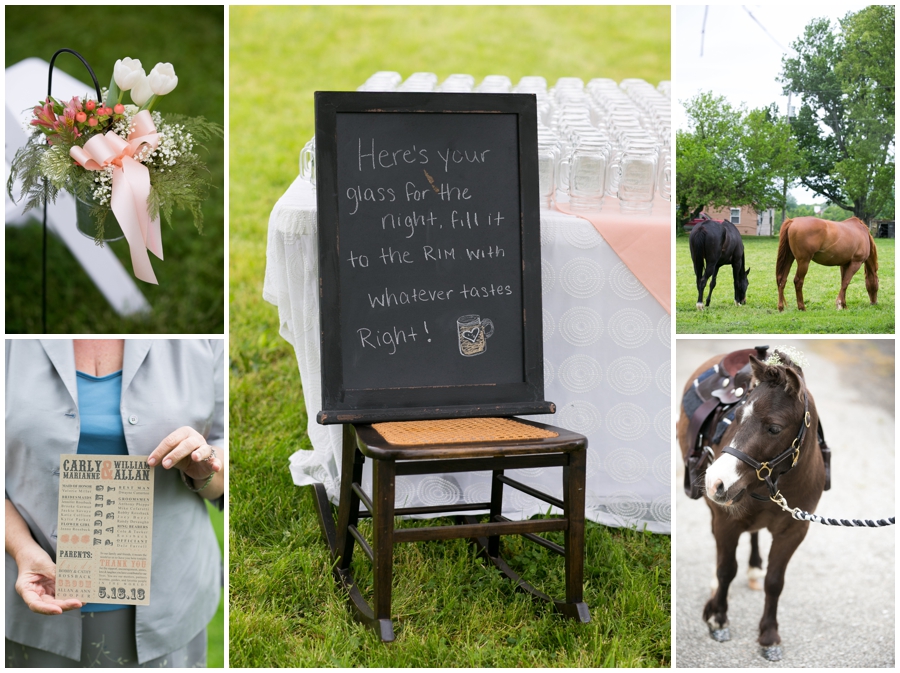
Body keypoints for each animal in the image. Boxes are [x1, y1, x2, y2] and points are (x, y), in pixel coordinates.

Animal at [680, 352, 828, 660]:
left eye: (774, 428)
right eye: (736, 417)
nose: (715, 481)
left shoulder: (794, 531)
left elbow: (775, 582)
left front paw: (769, 635)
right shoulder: (726, 521)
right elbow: (726, 569)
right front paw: (718, 618)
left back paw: (754, 566)